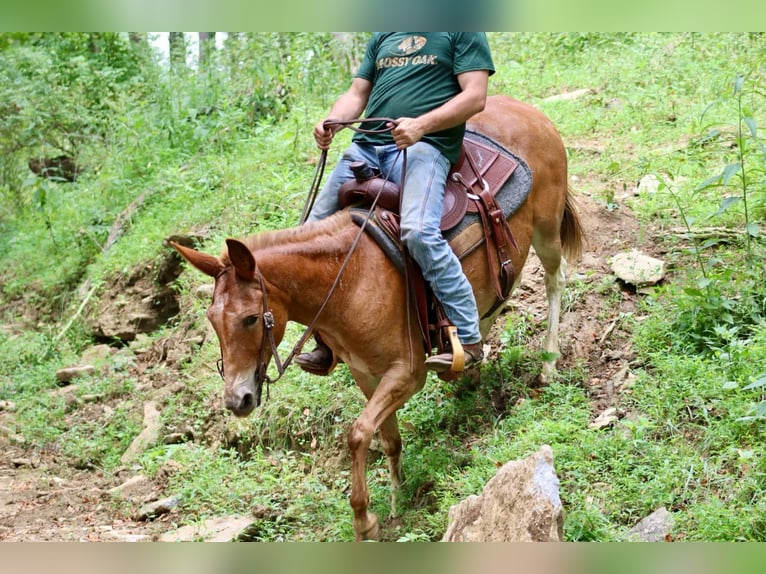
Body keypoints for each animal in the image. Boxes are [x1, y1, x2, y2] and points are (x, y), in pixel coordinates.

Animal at [172, 95, 584, 541]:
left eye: (250, 318)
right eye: (213, 320)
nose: (237, 400)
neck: (350, 279)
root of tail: (527, 110)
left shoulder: (407, 373)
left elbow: (358, 433)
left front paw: (364, 520)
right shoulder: (364, 373)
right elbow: (386, 437)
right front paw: (397, 497)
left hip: (547, 228)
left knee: (554, 279)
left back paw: (547, 364)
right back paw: (467, 359)